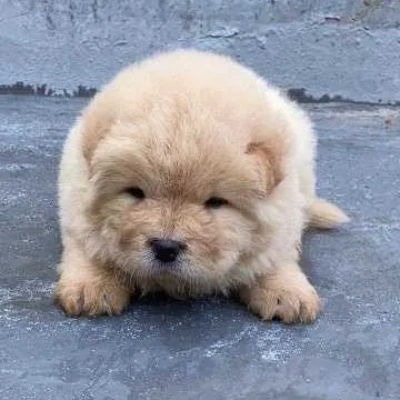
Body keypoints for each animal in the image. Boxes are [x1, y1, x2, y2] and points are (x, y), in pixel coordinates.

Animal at [54, 50, 348, 324]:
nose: (166, 247)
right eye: (135, 193)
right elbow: (88, 248)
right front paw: (91, 287)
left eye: (216, 202)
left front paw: (286, 293)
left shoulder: (283, 217)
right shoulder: (76, 205)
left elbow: (274, 257)